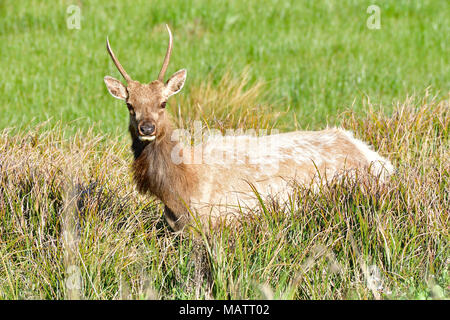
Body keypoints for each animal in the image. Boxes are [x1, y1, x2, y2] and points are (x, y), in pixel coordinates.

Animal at [103, 24, 394, 230]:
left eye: (163, 103)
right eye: (130, 105)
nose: (147, 128)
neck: (180, 192)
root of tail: (380, 161)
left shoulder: (222, 218)